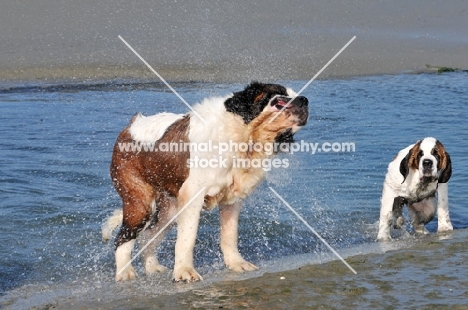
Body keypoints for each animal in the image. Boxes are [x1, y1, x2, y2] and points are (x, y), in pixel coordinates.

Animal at [103, 81, 308, 280]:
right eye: (279, 99)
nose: (304, 100)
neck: (243, 138)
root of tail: (130, 127)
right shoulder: (193, 196)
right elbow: (187, 238)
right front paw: (185, 271)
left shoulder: (232, 201)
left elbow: (229, 234)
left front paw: (236, 263)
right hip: (140, 203)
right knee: (123, 239)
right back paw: (125, 273)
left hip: (169, 209)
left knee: (148, 235)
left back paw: (153, 267)